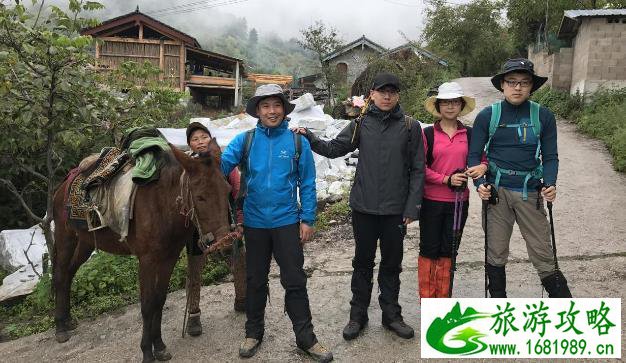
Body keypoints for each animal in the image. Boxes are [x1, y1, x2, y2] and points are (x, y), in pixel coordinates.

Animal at [51, 141, 232, 362]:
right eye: (200, 197)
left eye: (227, 190)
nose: (226, 246)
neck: (162, 203)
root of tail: (64, 185)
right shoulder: (146, 261)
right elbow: (146, 305)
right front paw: (147, 351)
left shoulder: (169, 258)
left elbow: (159, 300)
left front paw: (159, 346)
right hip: (65, 238)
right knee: (60, 275)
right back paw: (60, 327)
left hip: (85, 243)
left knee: (69, 274)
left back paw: (67, 320)